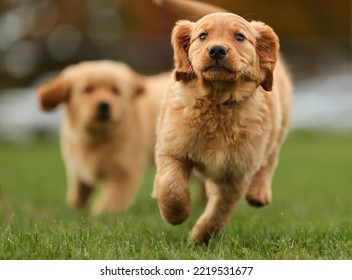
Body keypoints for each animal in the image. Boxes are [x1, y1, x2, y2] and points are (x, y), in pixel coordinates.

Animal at [37, 60, 170, 215]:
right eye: (87, 89)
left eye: (115, 90)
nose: (104, 105)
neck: (96, 136)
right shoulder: (77, 165)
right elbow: (78, 191)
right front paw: (75, 207)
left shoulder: (123, 172)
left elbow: (109, 202)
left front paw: (99, 213)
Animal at [151, 13, 292, 243]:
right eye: (202, 36)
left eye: (239, 37)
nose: (217, 50)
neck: (217, 102)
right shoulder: (172, 146)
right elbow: (170, 185)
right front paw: (176, 214)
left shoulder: (235, 173)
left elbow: (219, 210)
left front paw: (200, 237)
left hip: (279, 125)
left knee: (270, 157)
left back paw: (258, 193)